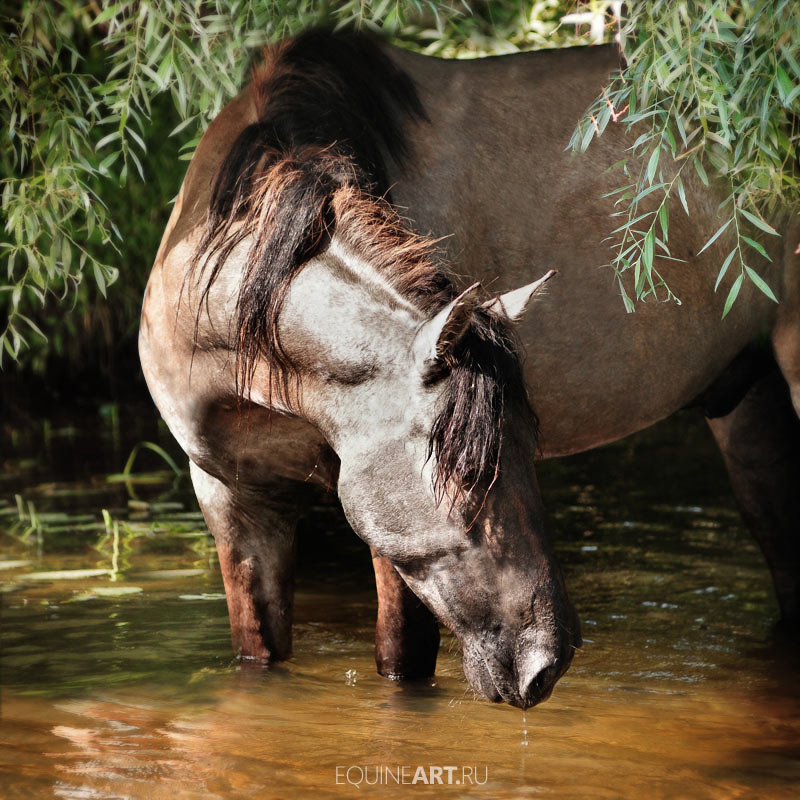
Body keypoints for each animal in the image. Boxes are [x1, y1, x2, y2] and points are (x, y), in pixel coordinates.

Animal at [139, 29, 800, 712]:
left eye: (531, 450)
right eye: (464, 471)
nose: (548, 662)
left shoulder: (388, 541)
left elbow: (401, 665)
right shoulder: (234, 503)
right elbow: (259, 653)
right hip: (749, 402)